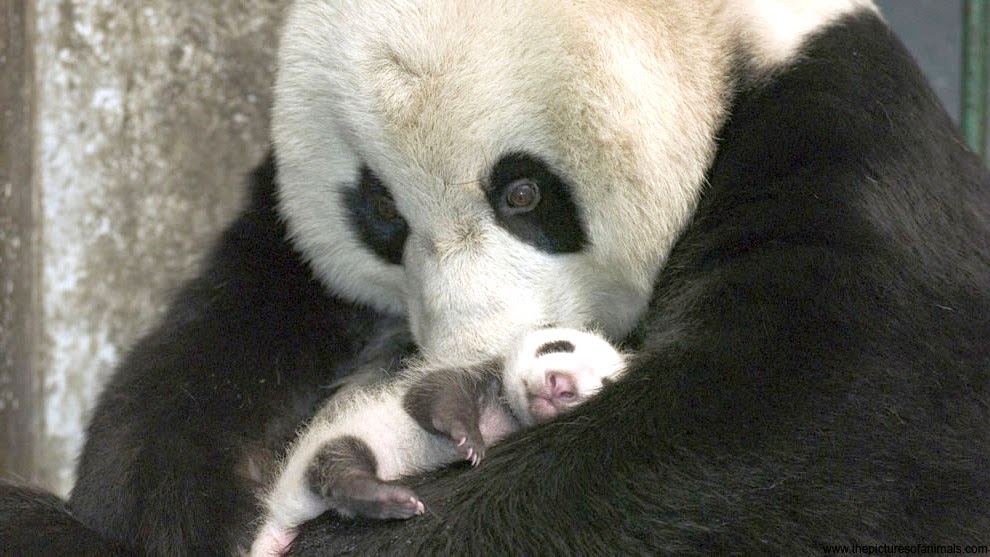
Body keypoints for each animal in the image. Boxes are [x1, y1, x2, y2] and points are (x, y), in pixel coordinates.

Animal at [1, 0, 988, 555]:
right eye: (381, 214)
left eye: (523, 191)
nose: (470, 359)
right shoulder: (284, 242)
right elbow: (199, 366)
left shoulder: (846, 148)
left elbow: (800, 427)